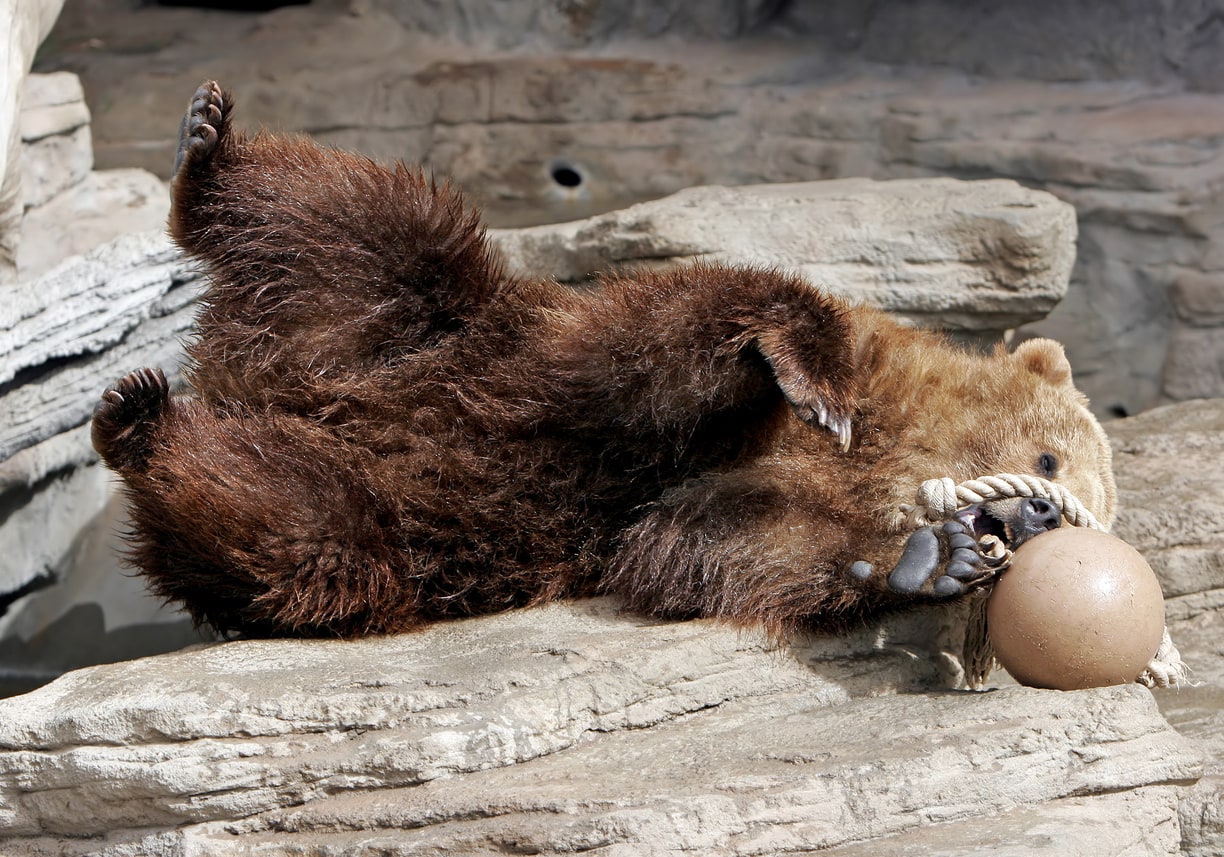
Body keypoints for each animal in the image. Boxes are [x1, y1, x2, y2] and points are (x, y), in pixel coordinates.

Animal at [90, 82, 1116, 641]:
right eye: (1051, 458)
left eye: (1088, 515)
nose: (1034, 514)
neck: (890, 446)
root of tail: (248, 379)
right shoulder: (623, 377)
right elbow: (698, 333)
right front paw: (808, 379)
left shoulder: (698, 501)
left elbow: (723, 544)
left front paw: (932, 556)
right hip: (421, 325)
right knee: (360, 224)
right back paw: (203, 149)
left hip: (388, 524)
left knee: (293, 520)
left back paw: (147, 423)